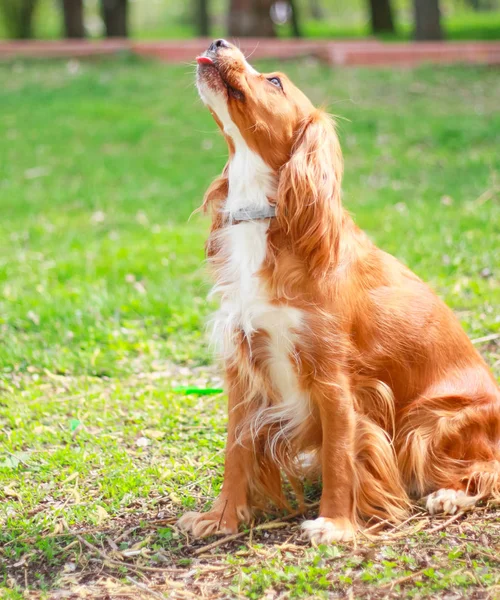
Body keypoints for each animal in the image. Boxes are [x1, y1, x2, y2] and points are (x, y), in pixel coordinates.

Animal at [178, 38, 498, 544]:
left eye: (275, 81)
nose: (219, 42)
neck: (269, 217)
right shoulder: (244, 367)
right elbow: (236, 448)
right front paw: (223, 517)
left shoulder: (334, 378)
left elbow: (339, 455)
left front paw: (335, 524)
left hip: (429, 421)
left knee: (488, 472)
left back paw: (449, 495)